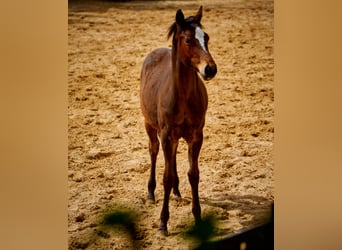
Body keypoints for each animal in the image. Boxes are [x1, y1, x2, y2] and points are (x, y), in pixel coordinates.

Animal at [139, 5, 216, 234]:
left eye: (206, 37)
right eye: (188, 40)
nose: (210, 68)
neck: (181, 95)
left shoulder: (196, 136)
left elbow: (194, 174)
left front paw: (198, 217)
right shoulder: (166, 135)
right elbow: (167, 176)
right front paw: (163, 223)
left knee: (171, 158)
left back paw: (176, 191)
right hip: (150, 125)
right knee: (154, 151)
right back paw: (151, 191)